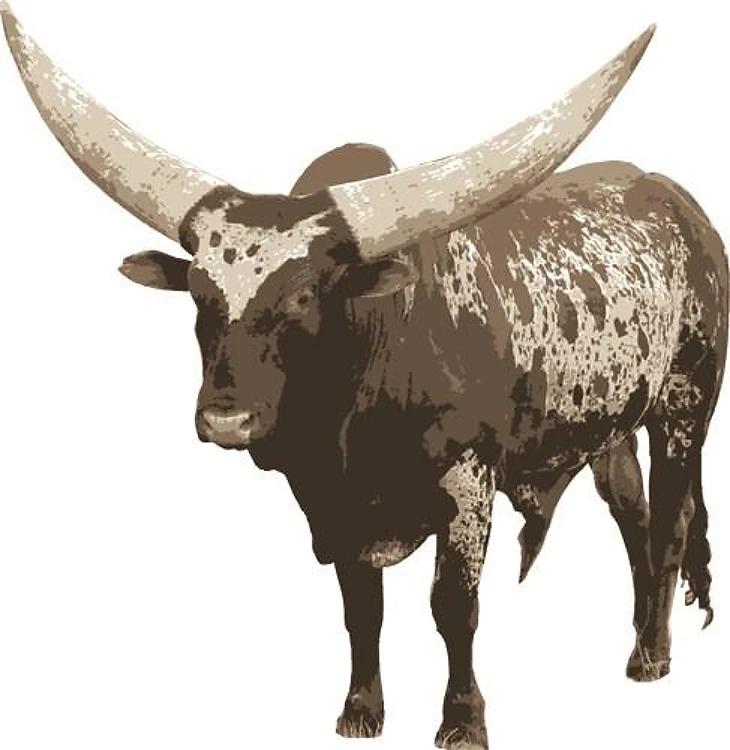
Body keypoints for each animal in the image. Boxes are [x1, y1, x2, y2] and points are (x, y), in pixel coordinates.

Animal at [2, 4, 726, 749]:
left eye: (304, 295)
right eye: (200, 294)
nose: (225, 419)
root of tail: (677, 202)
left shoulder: (469, 481)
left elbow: (453, 607)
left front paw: (463, 721)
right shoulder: (331, 506)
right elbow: (360, 609)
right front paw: (360, 711)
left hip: (685, 406)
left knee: (673, 518)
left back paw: (652, 655)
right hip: (611, 427)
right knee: (634, 515)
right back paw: (638, 635)